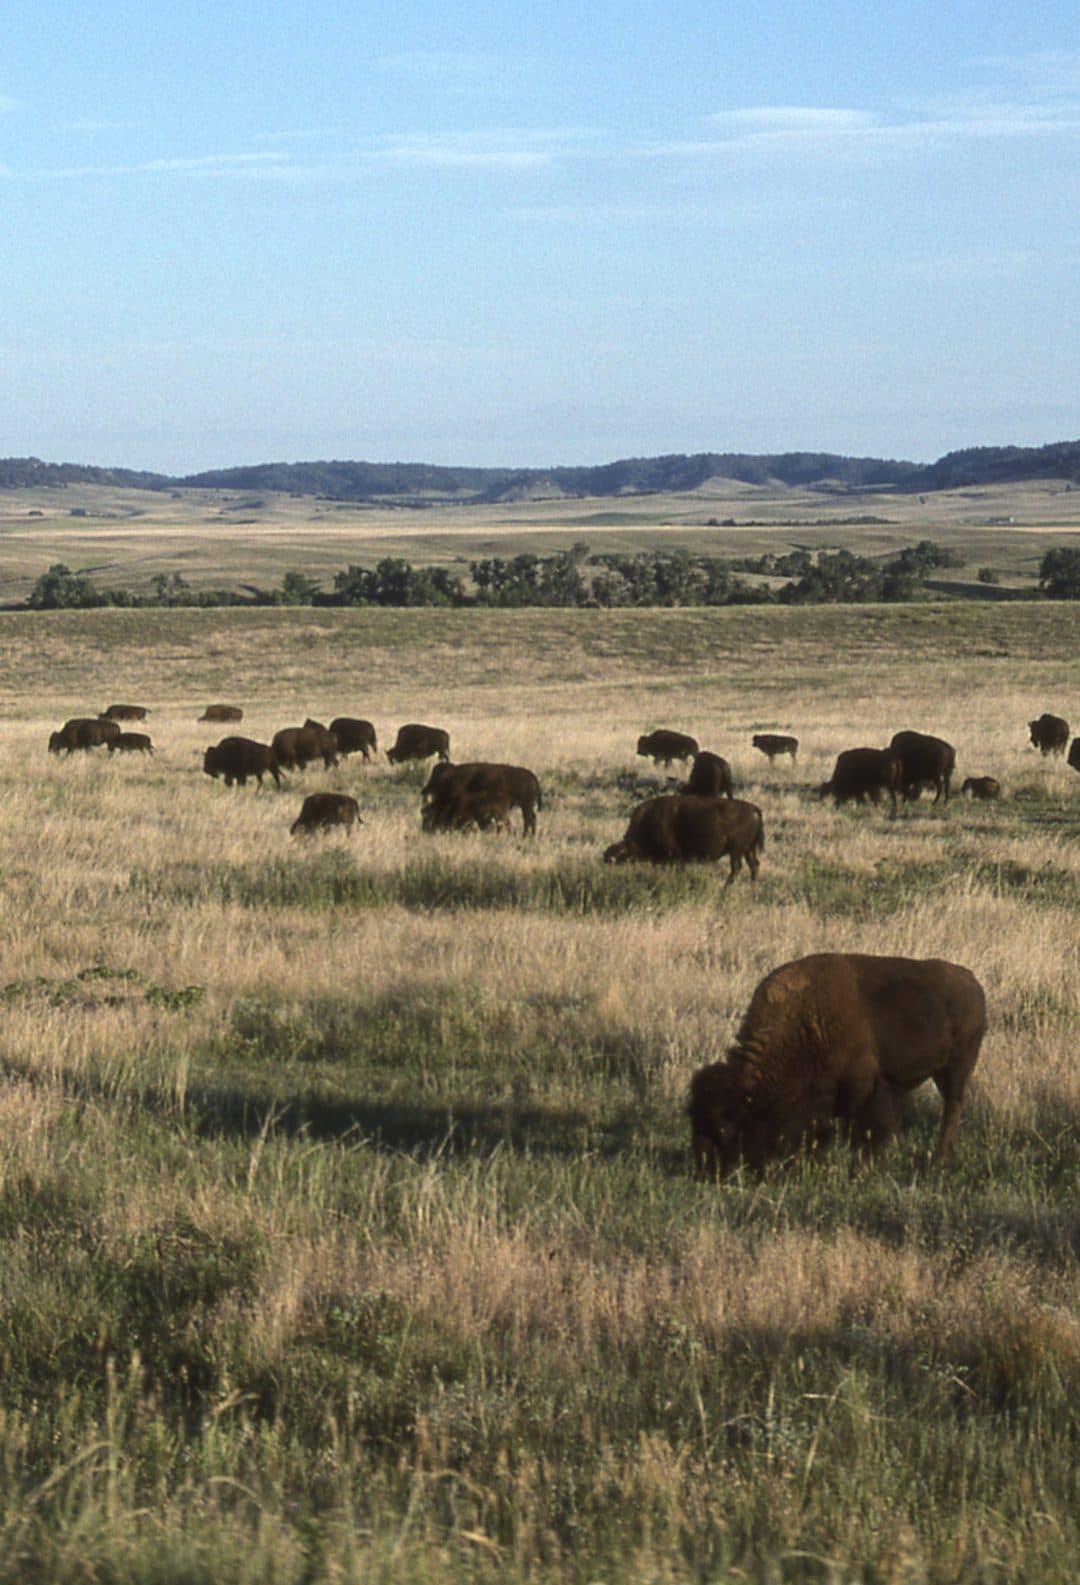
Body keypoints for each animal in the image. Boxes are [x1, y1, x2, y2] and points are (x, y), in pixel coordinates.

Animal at [602, 798, 761, 887]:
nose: (606, 859)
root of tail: (754, 809)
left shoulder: (676, 858)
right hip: (748, 850)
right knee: (754, 865)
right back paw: (752, 887)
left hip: (736, 852)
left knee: (737, 868)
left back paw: (725, 888)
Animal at [685, 951, 983, 1179]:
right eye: (692, 1120)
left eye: (724, 1126)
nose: (707, 1172)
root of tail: (971, 982)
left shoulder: (863, 1088)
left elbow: (863, 1131)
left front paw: (860, 1171)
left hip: (957, 1066)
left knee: (952, 1107)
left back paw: (939, 1159)